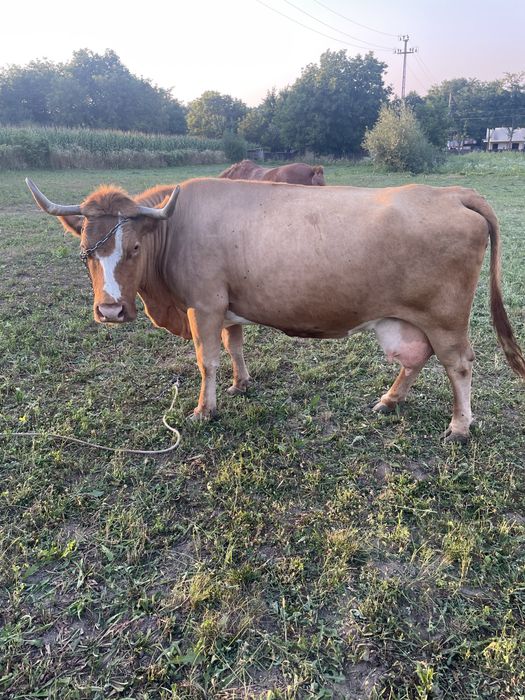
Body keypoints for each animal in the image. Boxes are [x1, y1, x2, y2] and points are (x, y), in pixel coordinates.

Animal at [26, 177, 525, 443]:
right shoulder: (228, 304)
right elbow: (234, 345)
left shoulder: (204, 303)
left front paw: (203, 410)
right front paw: (241, 384)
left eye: (132, 248)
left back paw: (459, 426)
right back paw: (389, 400)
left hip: (445, 318)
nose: (110, 310)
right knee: (416, 359)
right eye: (86, 252)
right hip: (406, 319)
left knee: (459, 364)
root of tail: (452, 192)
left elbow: (206, 359)